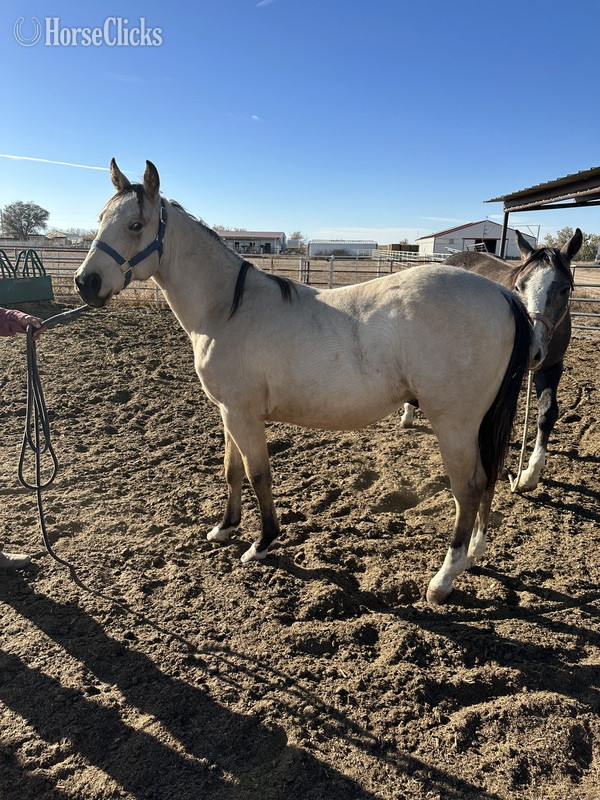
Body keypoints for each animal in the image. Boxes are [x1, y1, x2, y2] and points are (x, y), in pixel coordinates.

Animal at [74, 160, 532, 605]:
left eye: (136, 224)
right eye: (100, 219)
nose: (85, 283)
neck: (228, 310)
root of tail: (503, 295)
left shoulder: (242, 414)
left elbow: (258, 474)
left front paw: (261, 544)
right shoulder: (228, 412)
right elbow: (231, 470)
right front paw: (224, 528)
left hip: (454, 422)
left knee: (468, 487)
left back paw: (444, 579)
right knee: (486, 478)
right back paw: (473, 554)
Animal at [401, 229, 581, 492]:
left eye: (565, 289)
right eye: (519, 286)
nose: (531, 348)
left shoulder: (551, 368)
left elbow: (547, 414)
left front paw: (529, 474)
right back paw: (408, 414)